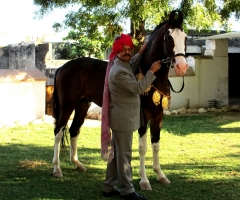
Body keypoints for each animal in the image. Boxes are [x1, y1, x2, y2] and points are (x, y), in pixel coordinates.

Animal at [51, 9, 188, 191]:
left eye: (185, 36)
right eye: (169, 36)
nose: (182, 66)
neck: (151, 76)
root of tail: (62, 67)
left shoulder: (158, 115)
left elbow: (156, 145)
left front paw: (160, 175)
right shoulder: (143, 115)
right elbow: (143, 147)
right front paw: (144, 180)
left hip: (82, 105)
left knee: (74, 131)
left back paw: (78, 164)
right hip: (67, 105)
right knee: (58, 132)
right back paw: (57, 169)